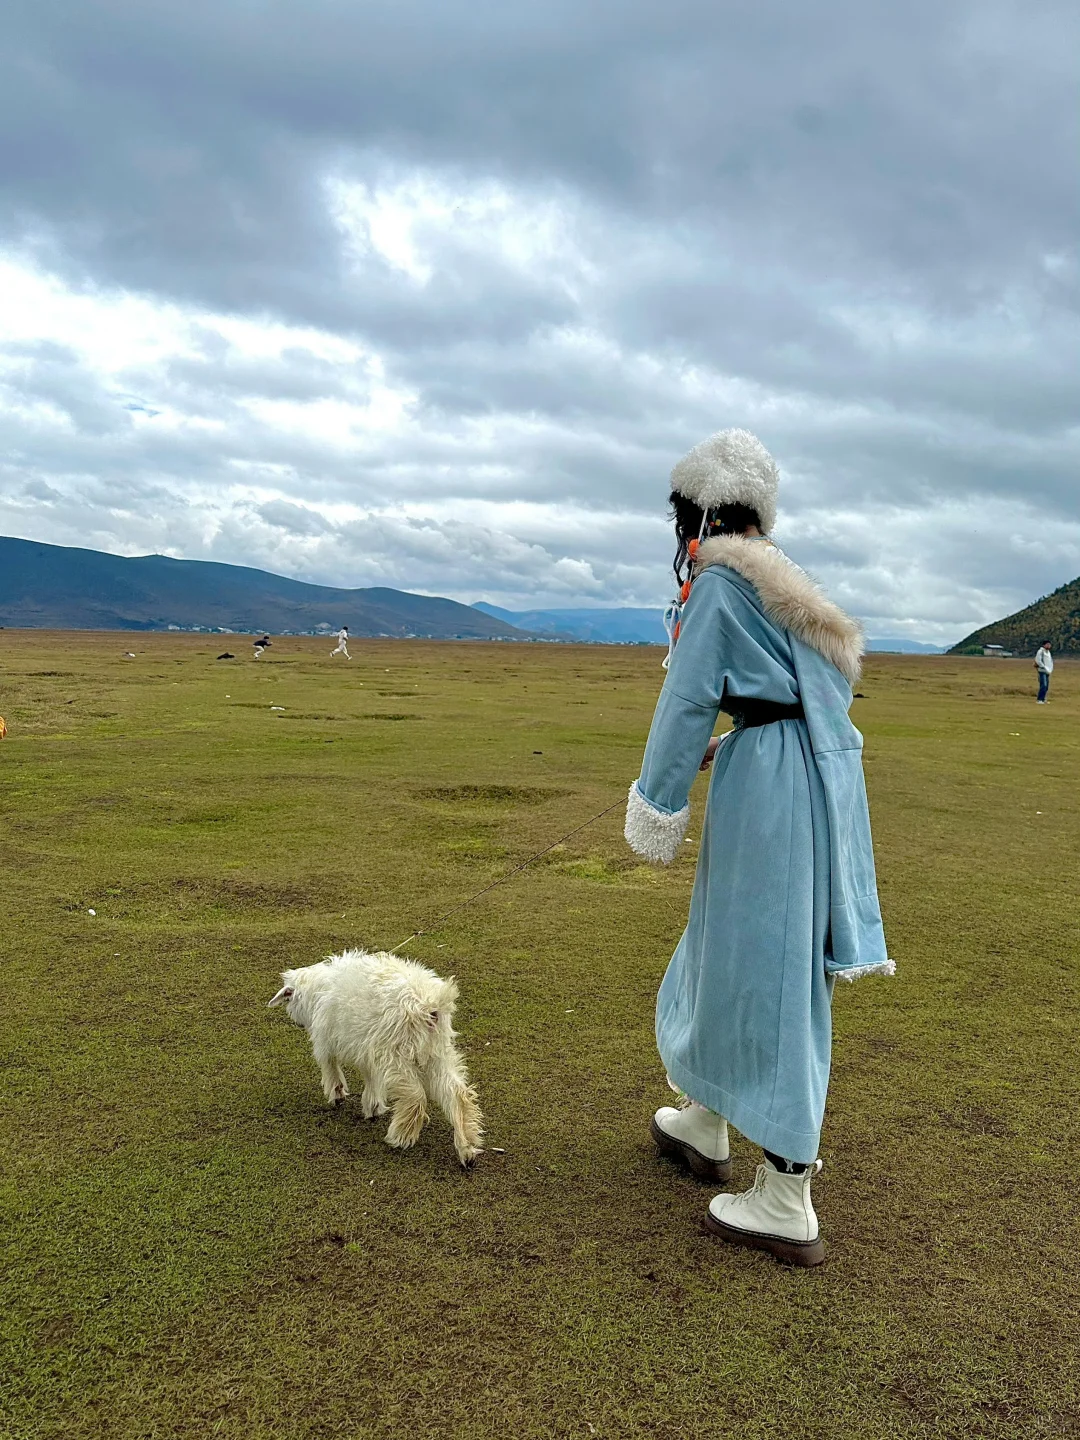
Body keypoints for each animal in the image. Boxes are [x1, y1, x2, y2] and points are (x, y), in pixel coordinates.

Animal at [270, 950, 486, 1163]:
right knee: (457, 1093)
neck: (316, 990)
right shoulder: (367, 1050)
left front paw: (338, 1094)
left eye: (289, 997)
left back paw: (400, 1137)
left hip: (397, 1055)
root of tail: (430, 1005)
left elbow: (330, 1066)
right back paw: (467, 1148)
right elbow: (371, 1077)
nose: (298, 1024)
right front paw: (373, 1106)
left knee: (415, 1096)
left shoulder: (326, 1041)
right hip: (436, 1052)